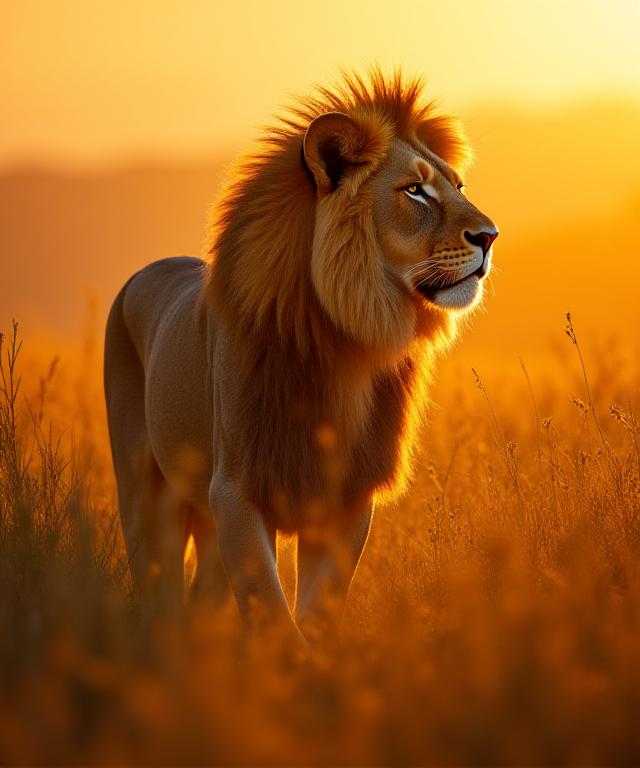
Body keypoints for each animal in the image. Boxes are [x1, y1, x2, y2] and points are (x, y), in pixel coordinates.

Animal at [104, 70, 498, 642]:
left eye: (458, 186)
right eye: (415, 190)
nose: (490, 236)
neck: (343, 343)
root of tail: (144, 272)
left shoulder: (347, 497)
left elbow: (317, 613)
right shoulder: (236, 489)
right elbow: (271, 613)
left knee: (204, 597)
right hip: (143, 493)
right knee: (161, 592)